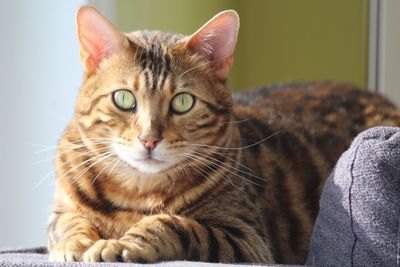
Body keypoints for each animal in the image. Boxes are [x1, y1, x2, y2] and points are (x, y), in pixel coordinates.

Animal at [47, 6, 400, 266]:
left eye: (183, 102)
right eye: (124, 99)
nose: (149, 139)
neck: (138, 193)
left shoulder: (249, 240)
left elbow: (174, 224)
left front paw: (121, 245)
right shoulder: (62, 212)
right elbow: (67, 223)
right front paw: (75, 244)